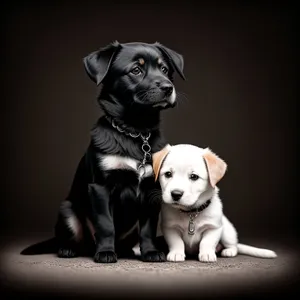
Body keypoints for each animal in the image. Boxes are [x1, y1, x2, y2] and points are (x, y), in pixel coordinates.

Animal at [20, 41, 185, 262]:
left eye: (165, 69)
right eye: (136, 70)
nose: (168, 87)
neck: (136, 132)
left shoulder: (151, 191)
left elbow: (148, 228)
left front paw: (150, 251)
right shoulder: (100, 188)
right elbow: (106, 225)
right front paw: (106, 252)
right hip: (68, 212)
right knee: (73, 238)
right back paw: (69, 249)